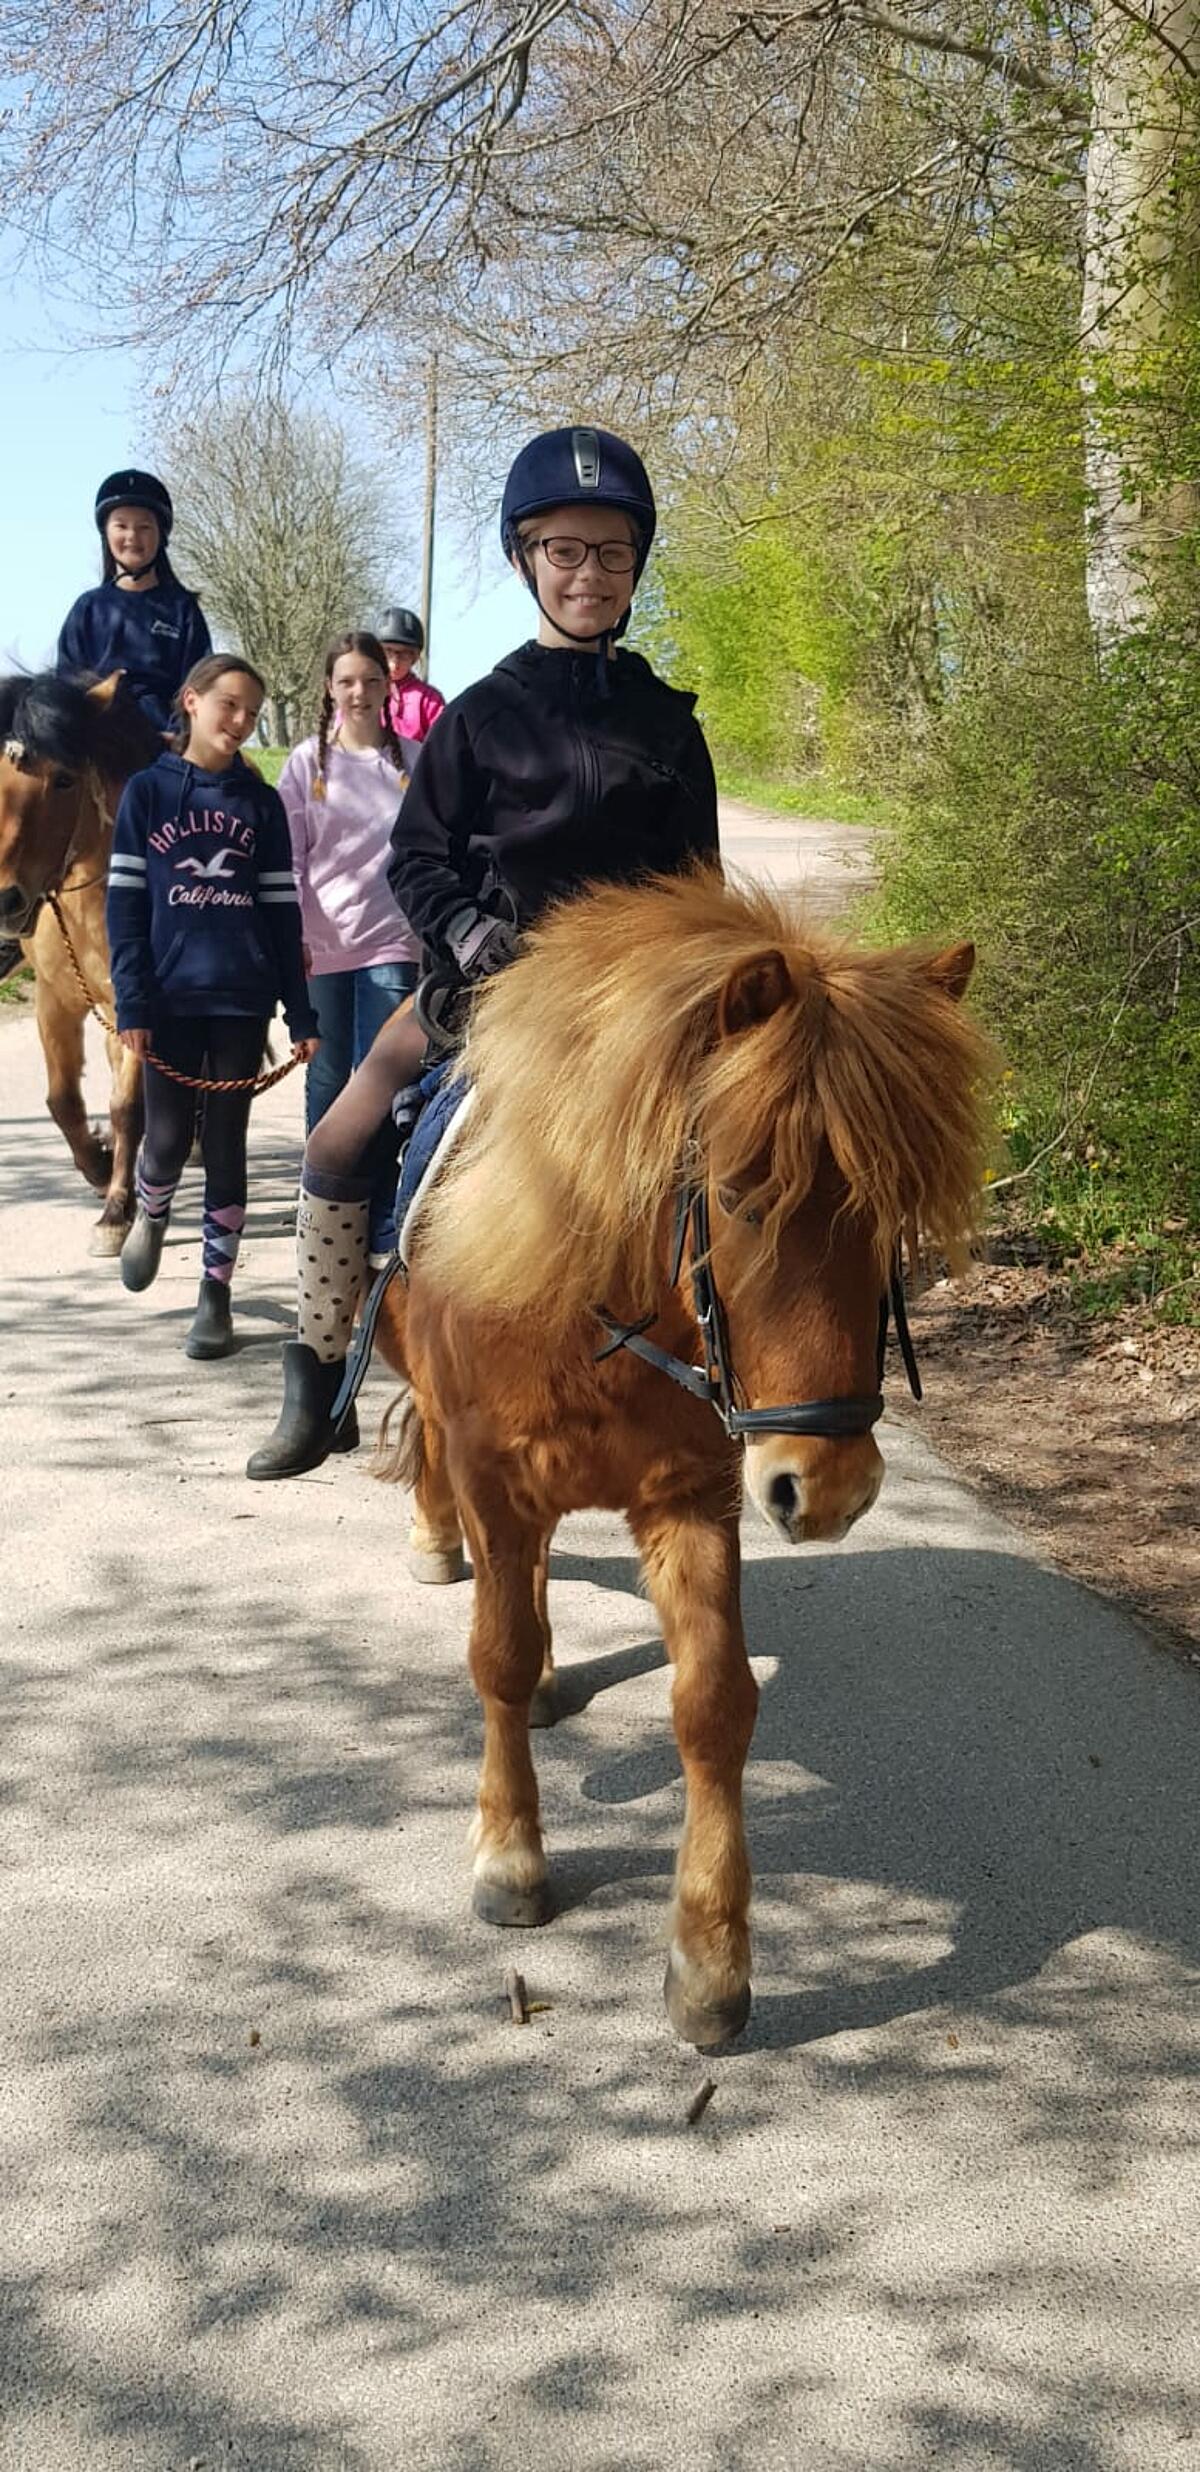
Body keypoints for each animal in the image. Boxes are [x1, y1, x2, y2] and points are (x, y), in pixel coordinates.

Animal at [0, 672, 159, 1255]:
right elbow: (62, 1101)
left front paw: (115, 1212)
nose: (5, 900)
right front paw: (98, 1164)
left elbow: (128, 1105)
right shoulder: (53, 1000)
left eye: (64, 779)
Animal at [376, 870, 989, 2046]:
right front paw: (510, 1858)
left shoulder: (695, 1500)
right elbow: (495, 1657)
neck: (600, 1312)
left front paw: (709, 1960)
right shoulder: (493, 1481)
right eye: (742, 1192)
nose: (828, 1490)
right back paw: (435, 1546)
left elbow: (714, 1703)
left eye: (891, 1212)